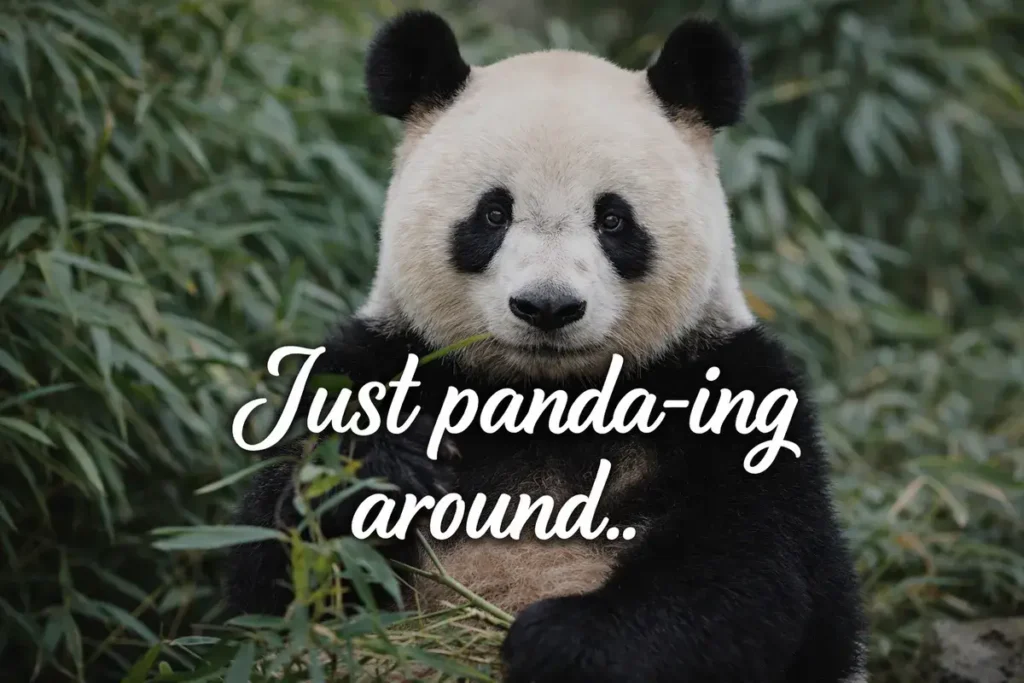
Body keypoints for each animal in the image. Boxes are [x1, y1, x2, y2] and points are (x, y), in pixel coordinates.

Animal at [225, 10, 869, 683]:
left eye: (612, 219)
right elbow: (273, 583)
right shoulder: (376, 362)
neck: (546, 398)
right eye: (493, 214)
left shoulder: (734, 393)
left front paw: (559, 640)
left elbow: (746, 573)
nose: (548, 307)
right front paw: (382, 469)